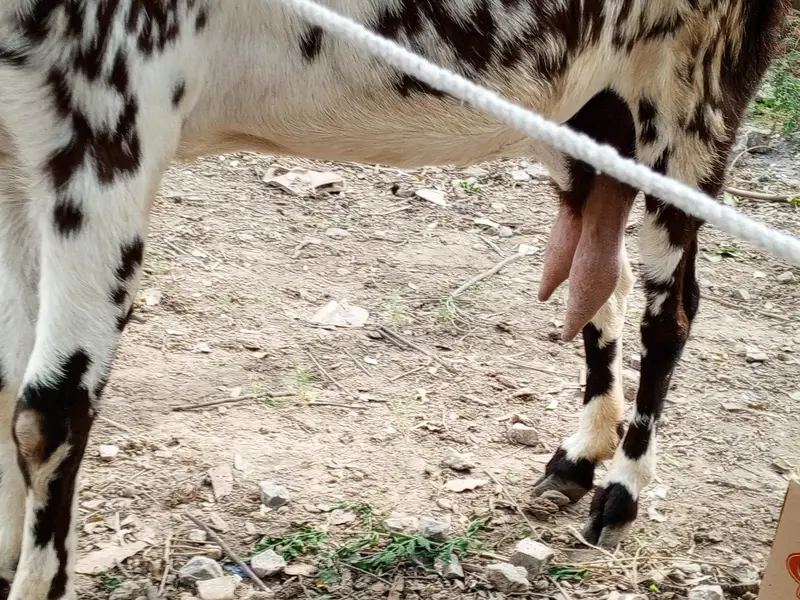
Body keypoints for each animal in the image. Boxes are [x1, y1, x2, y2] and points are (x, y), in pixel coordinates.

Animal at [0, 0, 789, 598]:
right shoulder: (13, 151)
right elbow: (8, 378)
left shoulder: (105, 134)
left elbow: (47, 416)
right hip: (586, 112)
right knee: (604, 274)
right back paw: (577, 457)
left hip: (691, 98)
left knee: (673, 307)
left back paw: (620, 492)